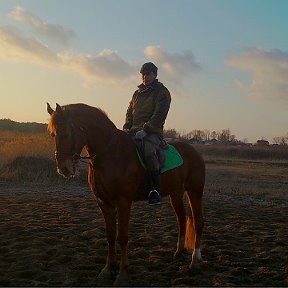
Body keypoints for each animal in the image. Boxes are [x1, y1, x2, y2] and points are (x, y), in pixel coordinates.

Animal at [46, 102, 205, 284]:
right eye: (53, 134)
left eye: (65, 133)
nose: (63, 169)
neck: (110, 153)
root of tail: (194, 151)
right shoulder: (104, 203)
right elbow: (110, 236)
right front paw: (107, 270)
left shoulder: (123, 202)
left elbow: (122, 237)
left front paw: (122, 275)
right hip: (175, 193)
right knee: (181, 219)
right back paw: (178, 252)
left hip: (195, 191)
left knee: (198, 222)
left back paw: (195, 261)